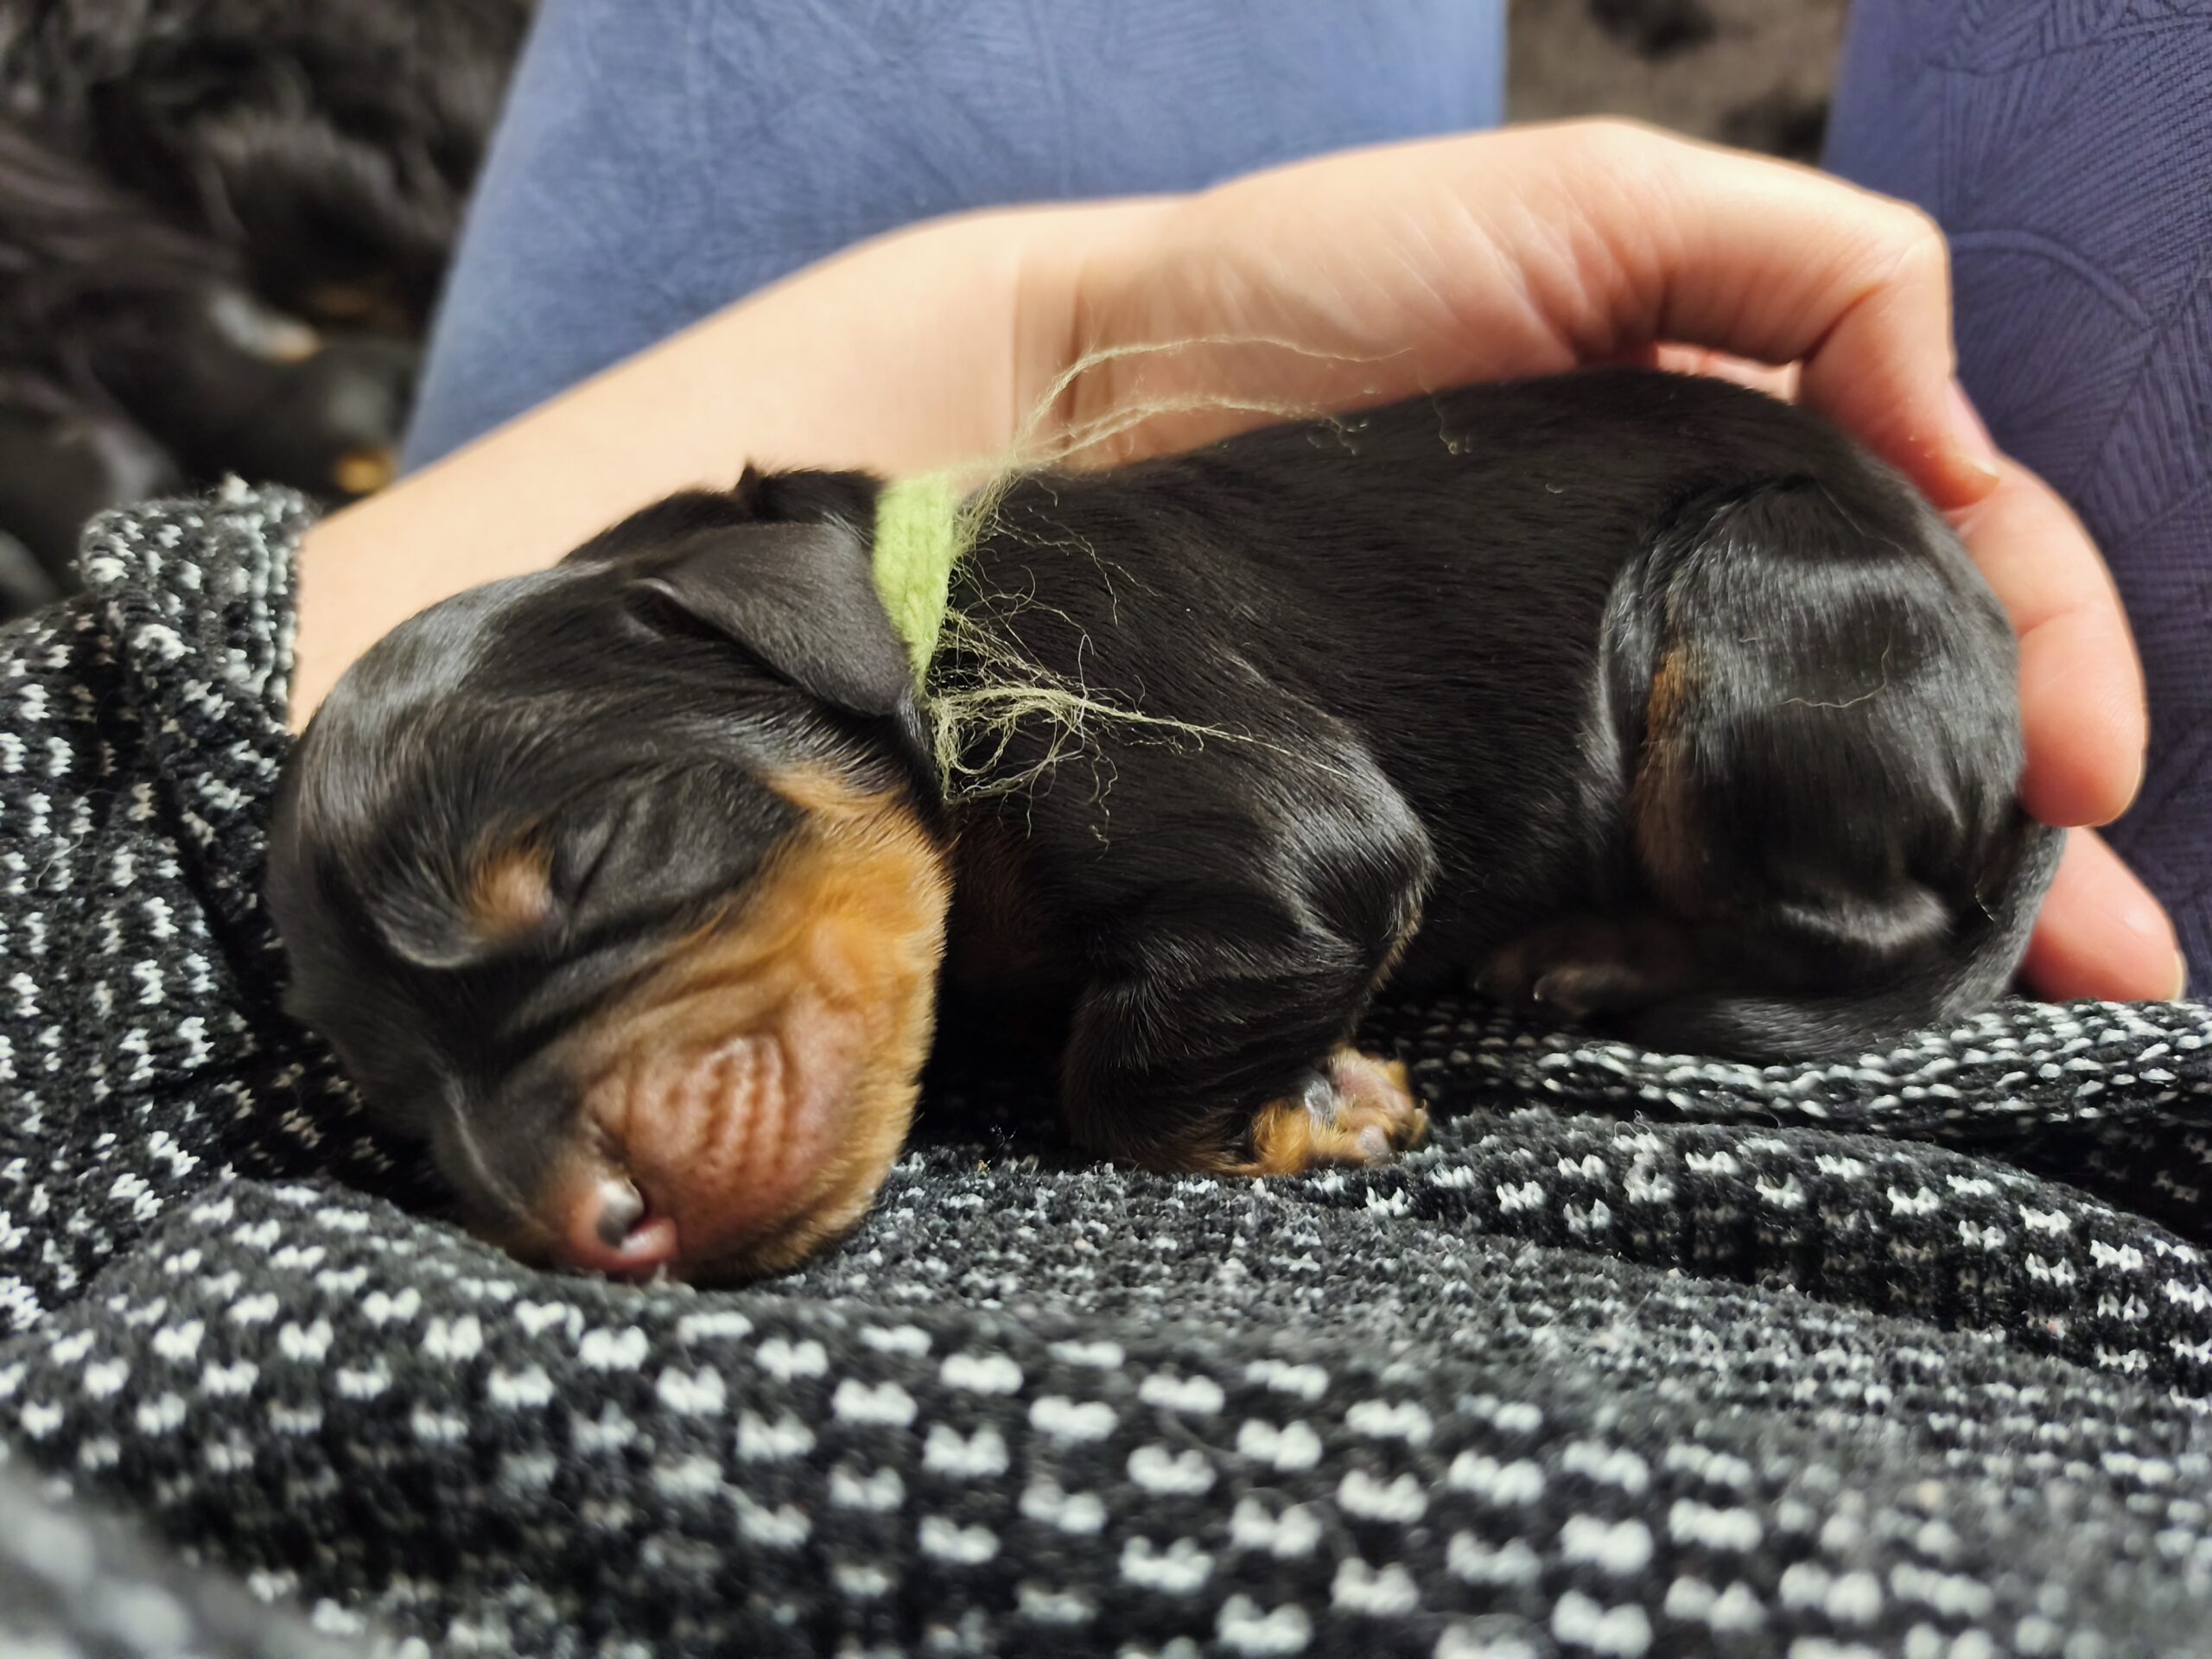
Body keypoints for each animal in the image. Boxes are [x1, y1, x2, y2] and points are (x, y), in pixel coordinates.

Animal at [266, 368, 2061, 1285]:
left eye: (595, 866)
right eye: (403, 1109)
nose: (596, 1238)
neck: (920, 624)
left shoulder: (1265, 818)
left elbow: (1115, 1082)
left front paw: (1323, 1107)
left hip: (1753, 617)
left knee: (1863, 923)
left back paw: (1599, 959)